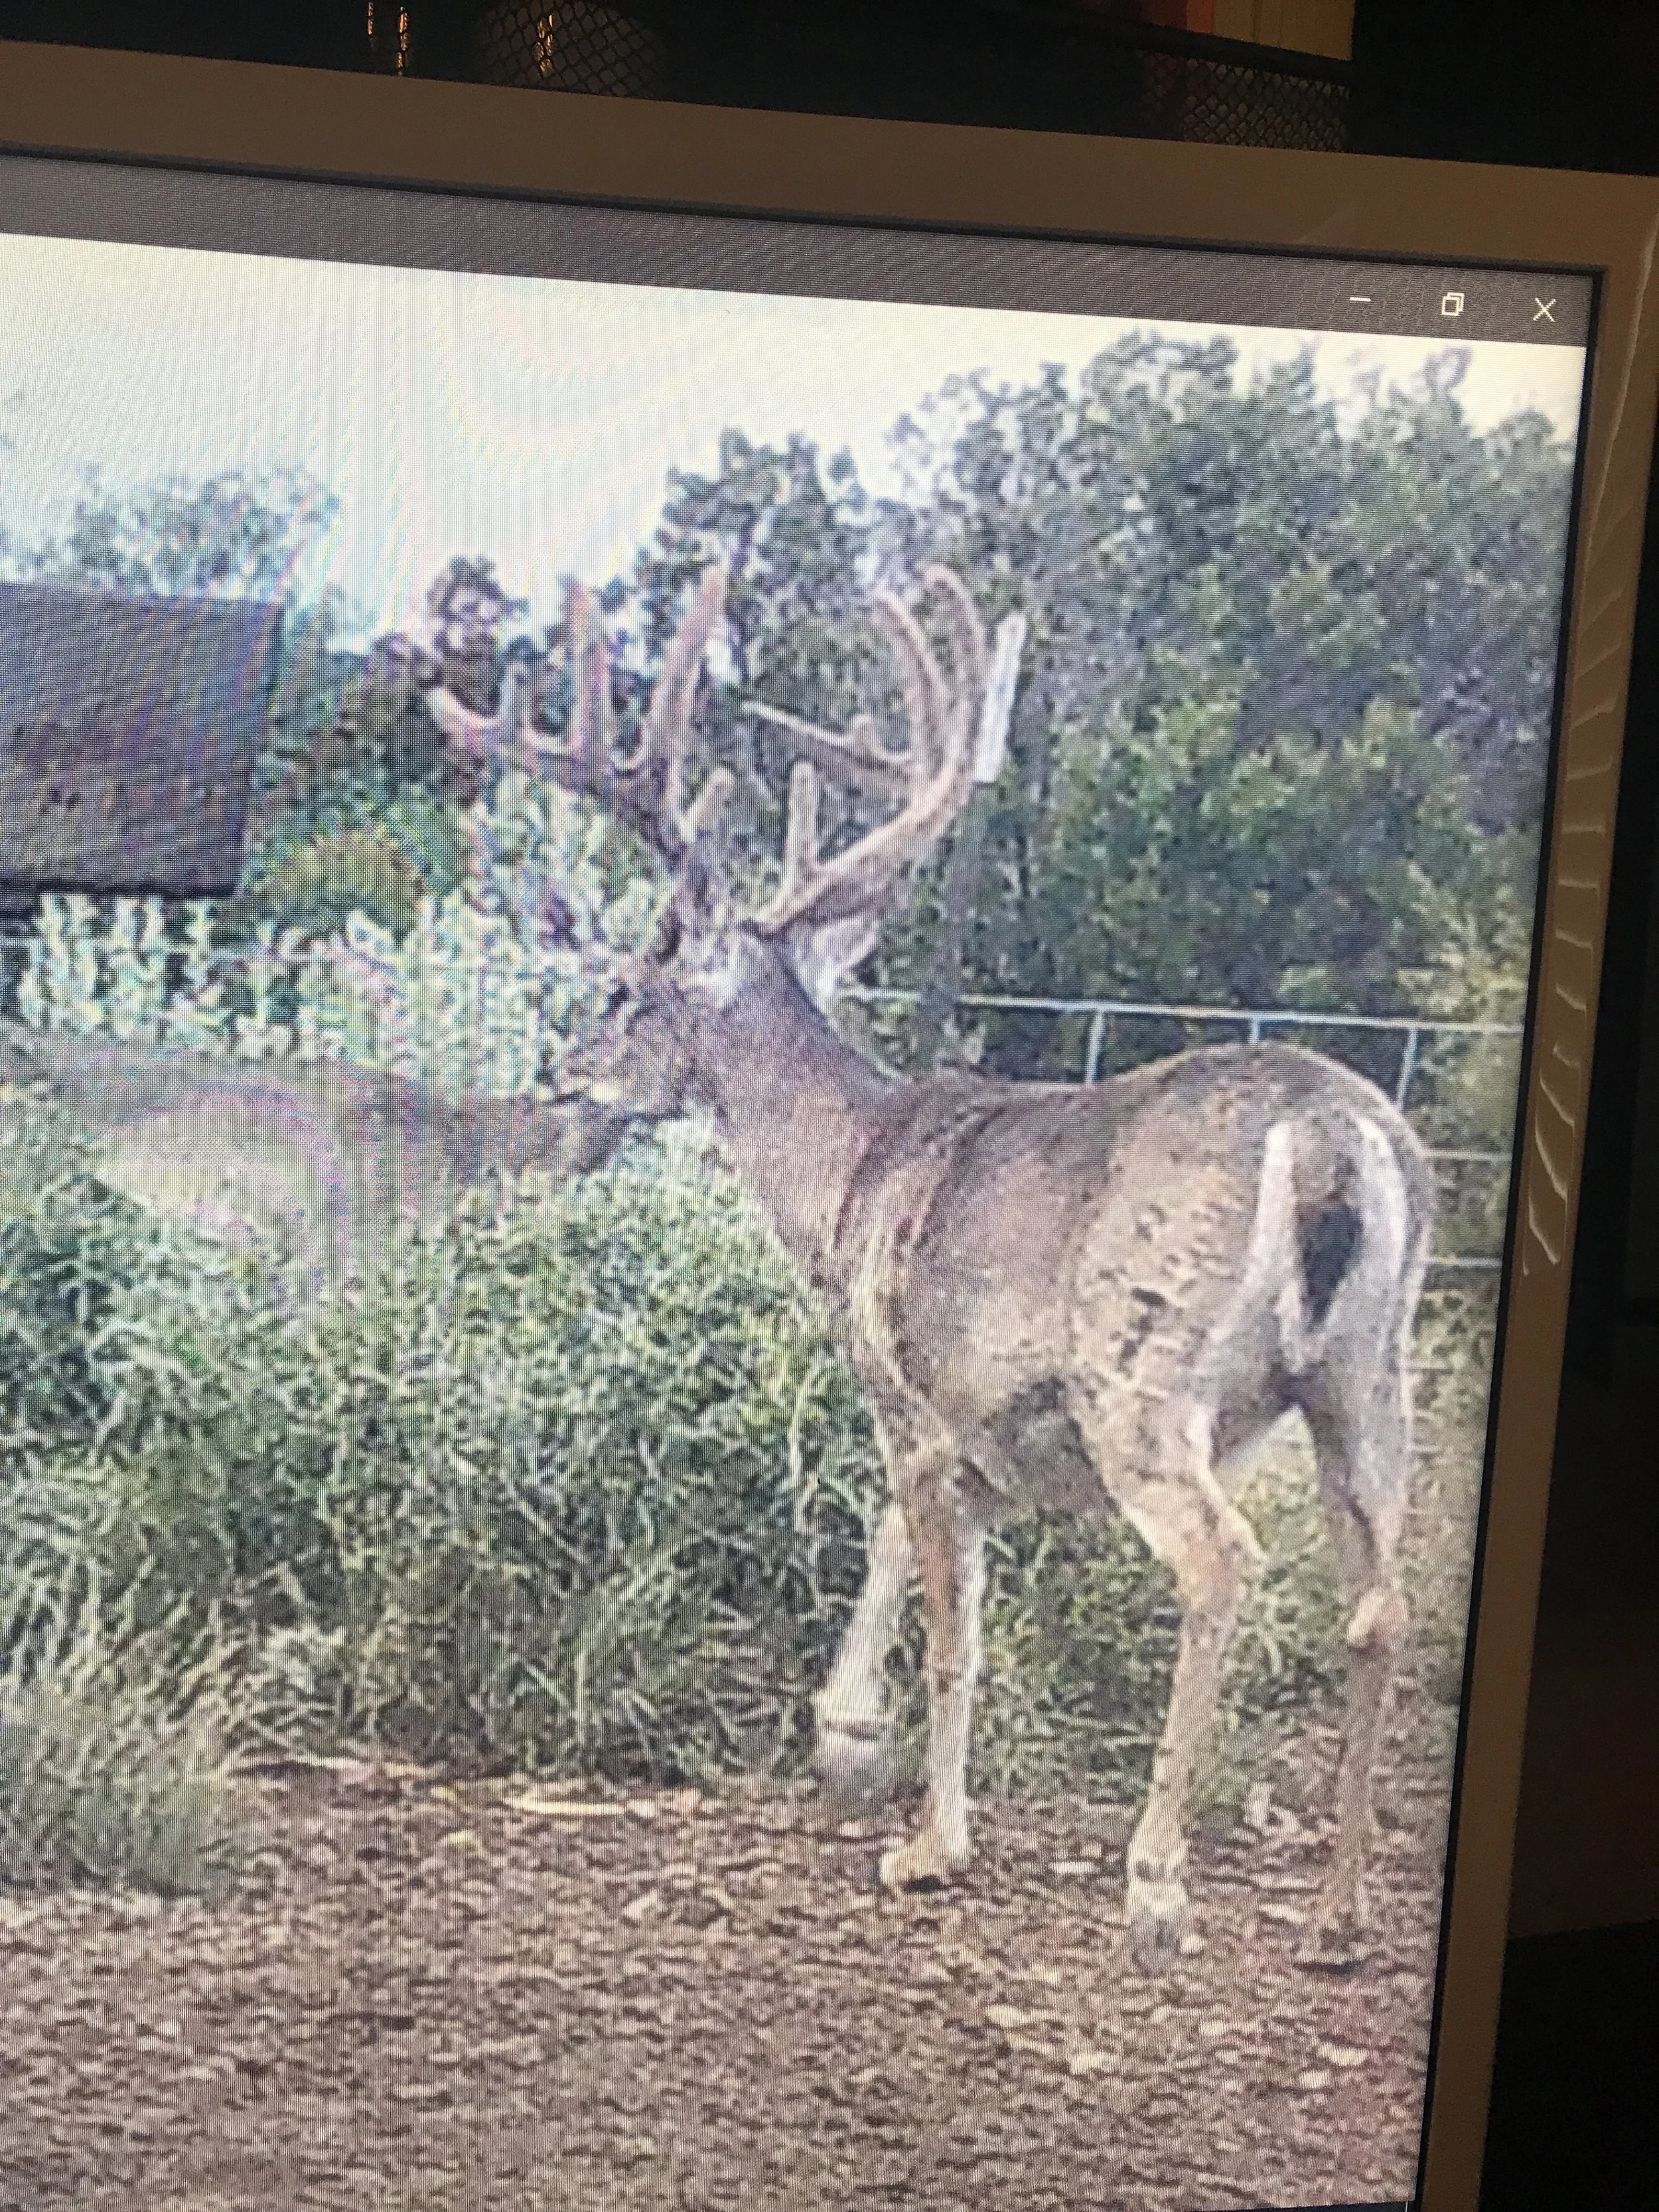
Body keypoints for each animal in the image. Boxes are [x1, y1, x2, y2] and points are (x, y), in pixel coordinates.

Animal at [425, 560, 1438, 1973]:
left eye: (628, 990)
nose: (558, 1068)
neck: (848, 1175)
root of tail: (1338, 1139)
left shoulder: (910, 1389)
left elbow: (952, 1623)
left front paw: (925, 1838)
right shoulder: (999, 1438)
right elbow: (898, 1551)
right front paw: (848, 1742)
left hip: (1145, 1373)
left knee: (1223, 1561)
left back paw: (1157, 1886)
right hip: (1365, 1378)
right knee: (1385, 1603)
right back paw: (1339, 1916)